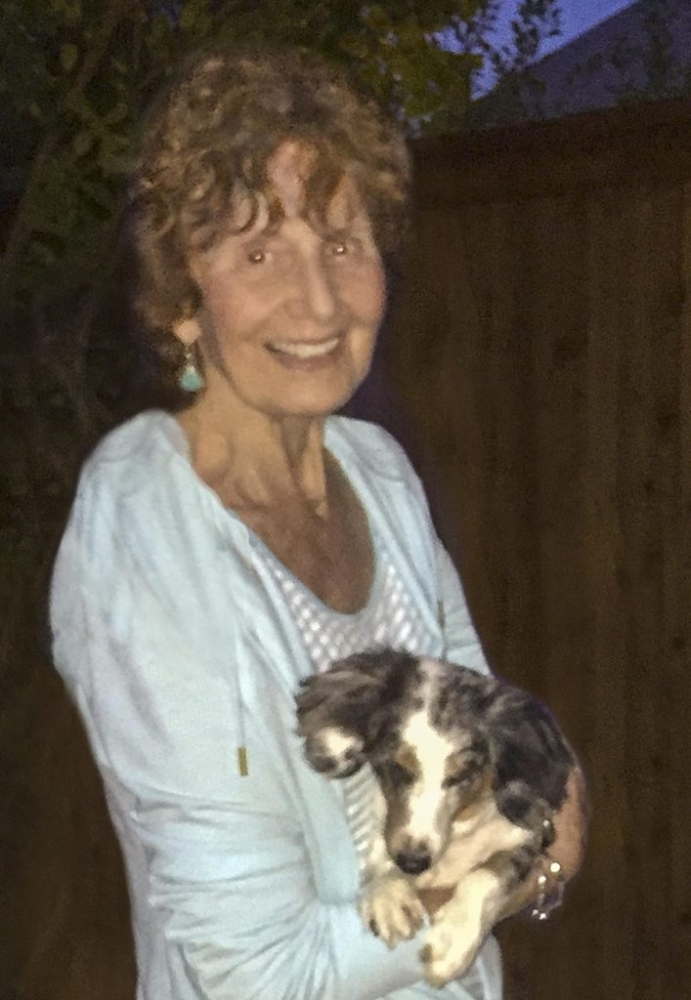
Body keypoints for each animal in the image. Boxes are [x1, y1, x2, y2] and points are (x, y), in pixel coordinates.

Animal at [296, 648, 576, 986]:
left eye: (461, 776)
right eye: (398, 769)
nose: (413, 863)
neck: (460, 829)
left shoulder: (528, 838)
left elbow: (486, 875)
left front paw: (454, 939)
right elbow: (381, 856)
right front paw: (387, 894)